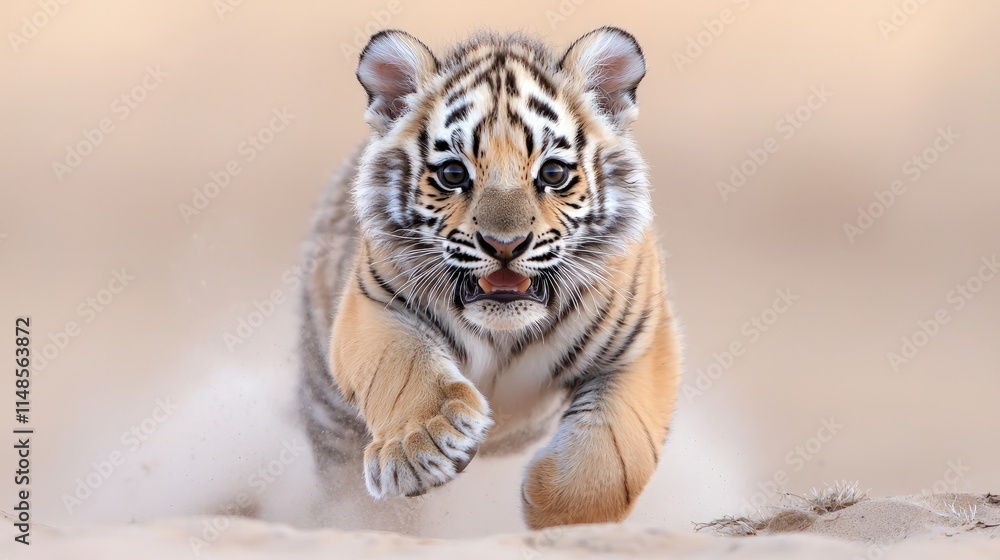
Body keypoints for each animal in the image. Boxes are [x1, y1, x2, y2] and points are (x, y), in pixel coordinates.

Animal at [297, 26, 681, 531]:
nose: (505, 244)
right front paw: (422, 446)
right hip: (329, 416)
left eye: (552, 173)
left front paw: (556, 511)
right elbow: (402, 365)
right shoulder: (377, 304)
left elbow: (615, 451)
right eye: (452, 173)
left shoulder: (642, 345)